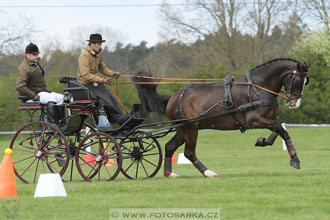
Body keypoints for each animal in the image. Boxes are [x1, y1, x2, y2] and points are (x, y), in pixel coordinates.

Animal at [133, 58, 310, 179]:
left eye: (306, 81)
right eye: (297, 79)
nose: (295, 103)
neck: (257, 88)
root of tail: (173, 97)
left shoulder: (269, 119)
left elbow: (278, 130)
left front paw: (262, 141)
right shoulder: (254, 121)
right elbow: (282, 130)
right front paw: (295, 160)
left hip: (183, 129)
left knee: (169, 147)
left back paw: (169, 173)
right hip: (191, 128)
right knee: (189, 152)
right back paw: (208, 172)